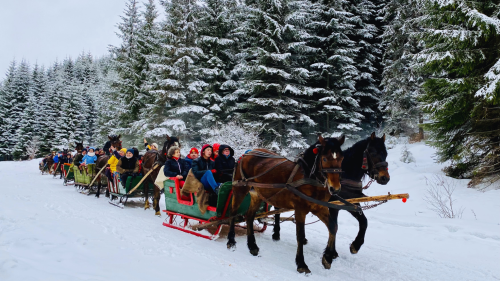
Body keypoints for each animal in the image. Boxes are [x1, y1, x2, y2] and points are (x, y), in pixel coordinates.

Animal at [227, 135, 356, 272]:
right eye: (325, 158)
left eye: (341, 158)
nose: (335, 189)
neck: (309, 178)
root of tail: (247, 154)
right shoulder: (300, 209)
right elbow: (300, 235)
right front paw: (301, 263)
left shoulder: (319, 207)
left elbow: (333, 227)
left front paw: (327, 257)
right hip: (240, 189)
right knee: (233, 213)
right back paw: (231, 240)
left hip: (258, 194)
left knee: (250, 216)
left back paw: (252, 246)